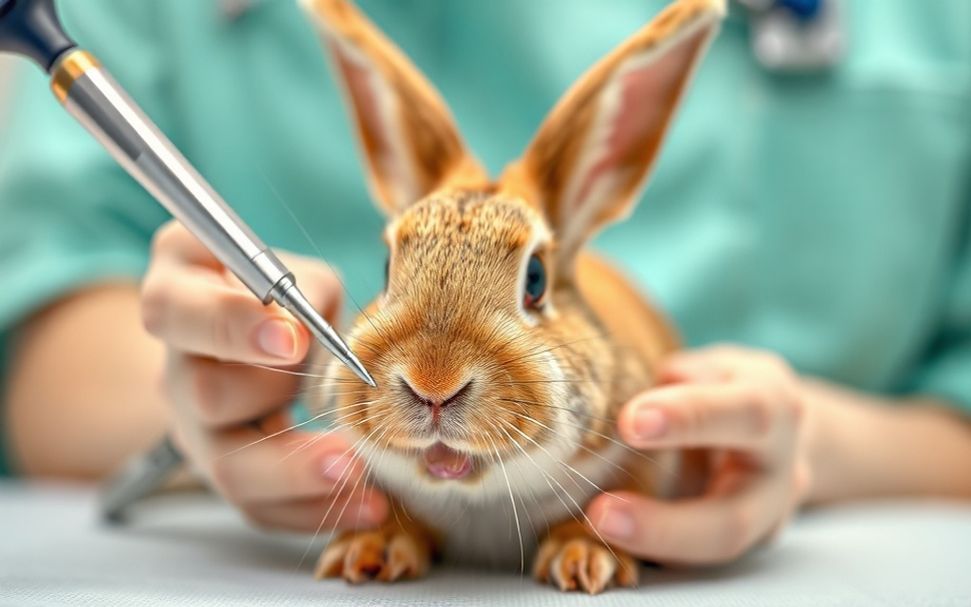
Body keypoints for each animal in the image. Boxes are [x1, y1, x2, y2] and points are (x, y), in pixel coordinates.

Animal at [299, 0, 725, 594]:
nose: (433, 384)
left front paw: (583, 557)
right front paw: (370, 548)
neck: (479, 498)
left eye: (536, 279)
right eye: (386, 267)